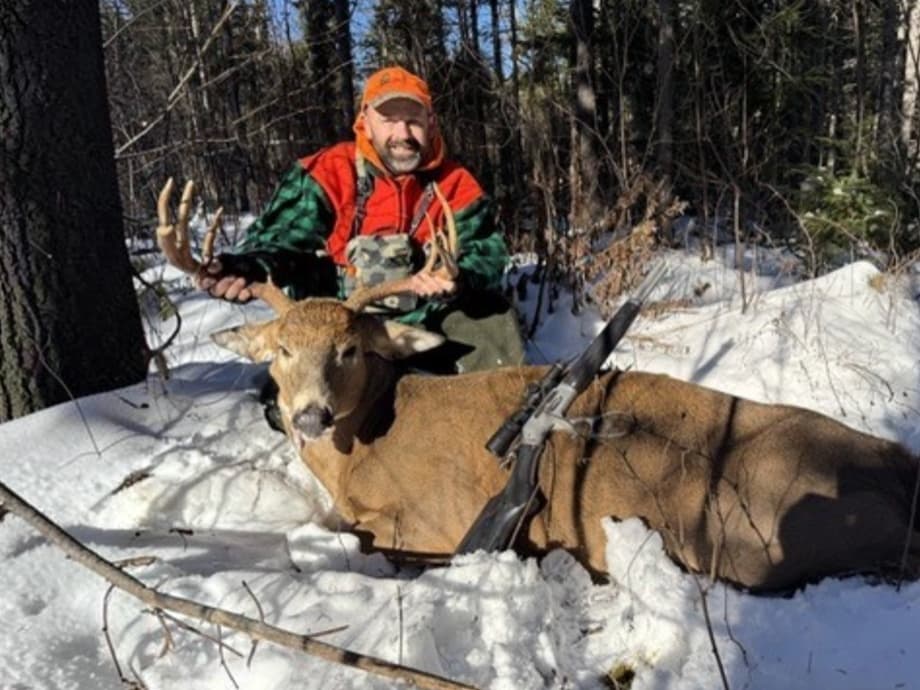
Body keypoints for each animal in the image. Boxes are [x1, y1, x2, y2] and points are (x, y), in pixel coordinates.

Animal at [157, 179, 920, 592]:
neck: (365, 445)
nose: (309, 415)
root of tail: (903, 478)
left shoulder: (428, 523)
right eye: (281, 350)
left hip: (751, 534)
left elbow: (359, 541)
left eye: (348, 348)